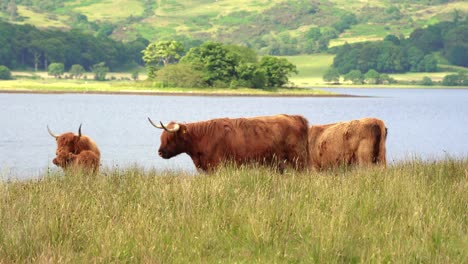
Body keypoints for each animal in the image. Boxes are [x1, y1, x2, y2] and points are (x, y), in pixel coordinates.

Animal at [149, 114, 310, 172]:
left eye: (170, 138)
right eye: (161, 137)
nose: (160, 152)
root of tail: (295, 117)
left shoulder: (216, 166)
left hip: (298, 160)